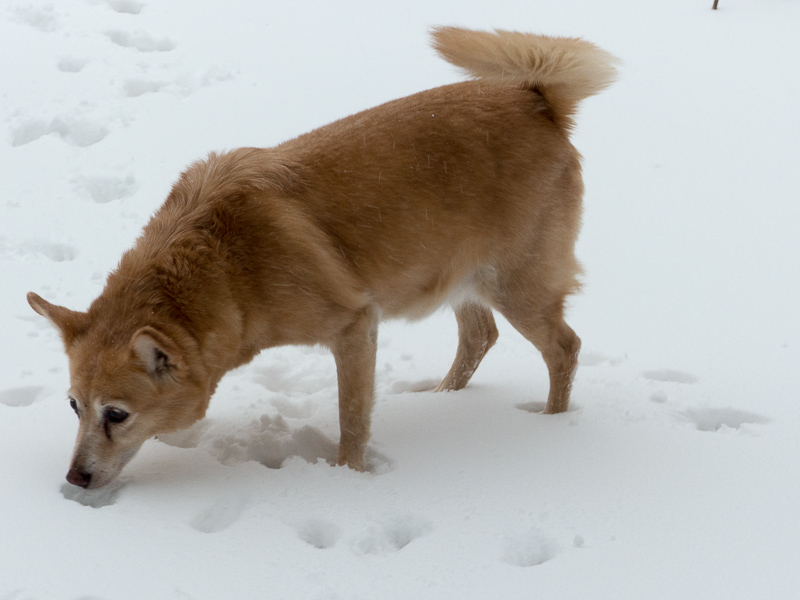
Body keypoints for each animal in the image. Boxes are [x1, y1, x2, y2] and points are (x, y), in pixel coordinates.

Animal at [26, 27, 620, 488]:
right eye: (74, 406)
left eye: (117, 414)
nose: (74, 479)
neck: (227, 265)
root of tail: (535, 97)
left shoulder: (356, 326)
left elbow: (352, 419)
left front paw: (346, 480)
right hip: (458, 275)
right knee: (480, 336)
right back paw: (443, 399)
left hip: (519, 286)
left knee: (564, 349)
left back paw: (550, 426)